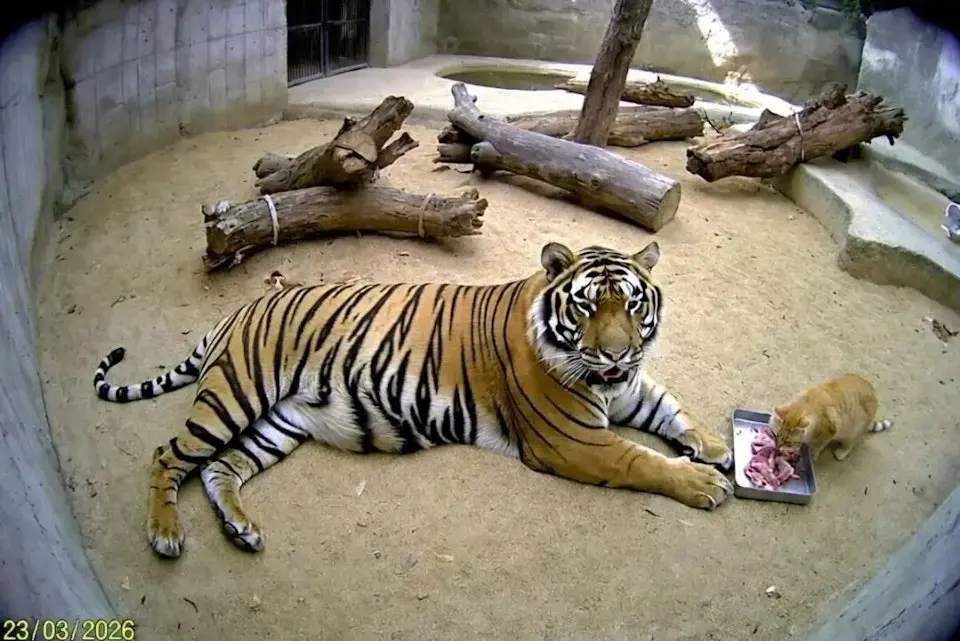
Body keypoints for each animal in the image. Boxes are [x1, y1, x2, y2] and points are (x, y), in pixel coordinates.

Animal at [93, 240, 734, 559]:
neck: (602, 380)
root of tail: (237, 310)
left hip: (279, 424)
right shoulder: (573, 440)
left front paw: (719, 447)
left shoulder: (628, 390)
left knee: (219, 469)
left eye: (632, 304)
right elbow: (639, 458)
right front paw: (704, 482)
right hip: (235, 395)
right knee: (168, 457)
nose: (616, 353)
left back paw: (242, 529)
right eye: (586, 306)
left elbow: (670, 407)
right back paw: (166, 534)